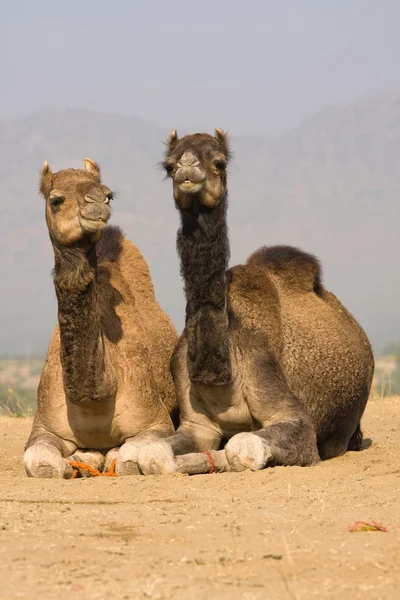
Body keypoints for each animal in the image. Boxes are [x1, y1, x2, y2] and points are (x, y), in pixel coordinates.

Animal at [23, 158, 177, 478]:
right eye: (56, 200)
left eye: (110, 195)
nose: (98, 199)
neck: (95, 398)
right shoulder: (43, 427)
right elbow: (40, 461)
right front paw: (70, 464)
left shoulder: (156, 422)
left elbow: (130, 459)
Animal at [137, 129, 376, 476]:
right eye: (169, 166)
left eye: (219, 161)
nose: (187, 168)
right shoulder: (196, 424)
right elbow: (152, 453)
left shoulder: (287, 408)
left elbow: (242, 447)